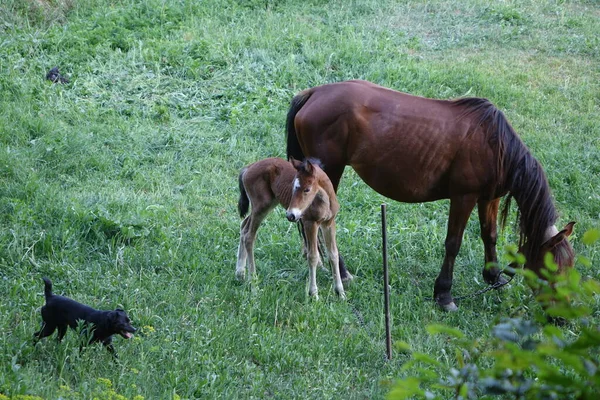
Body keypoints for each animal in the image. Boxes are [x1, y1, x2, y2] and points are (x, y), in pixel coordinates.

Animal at [236, 158, 344, 298]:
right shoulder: (310, 223)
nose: (290, 215)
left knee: (244, 226)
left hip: (268, 204)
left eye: (307, 189)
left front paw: (341, 293)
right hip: (261, 206)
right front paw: (314, 294)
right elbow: (312, 256)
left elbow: (333, 254)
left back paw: (240, 274)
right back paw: (254, 285)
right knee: (249, 236)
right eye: (293, 187)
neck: (325, 201)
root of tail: (248, 168)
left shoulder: (328, 223)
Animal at [286, 79, 576, 310]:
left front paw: (494, 277)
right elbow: (453, 244)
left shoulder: (488, 198)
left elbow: (490, 236)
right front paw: (444, 294)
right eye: (554, 270)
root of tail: (314, 93)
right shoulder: (464, 197)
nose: (561, 319)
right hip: (328, 176)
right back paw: (342, 272)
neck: (496, 146)